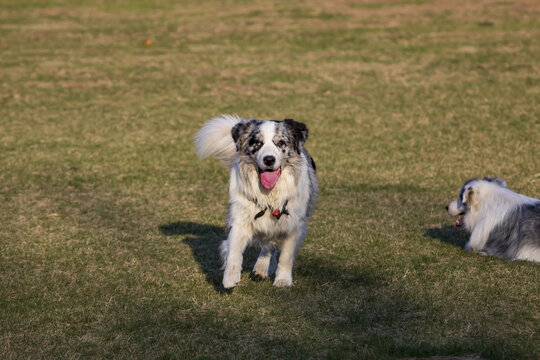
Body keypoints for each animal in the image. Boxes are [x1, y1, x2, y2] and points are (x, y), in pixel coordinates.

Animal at [196, 114, 318, 288]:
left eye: (281, 143)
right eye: (257, 143)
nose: (269, 159)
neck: (269, 193)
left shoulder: (293, 224)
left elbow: (286, 255)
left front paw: (283, 280)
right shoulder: (240, 218)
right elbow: (234, 250)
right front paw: (230, 277)